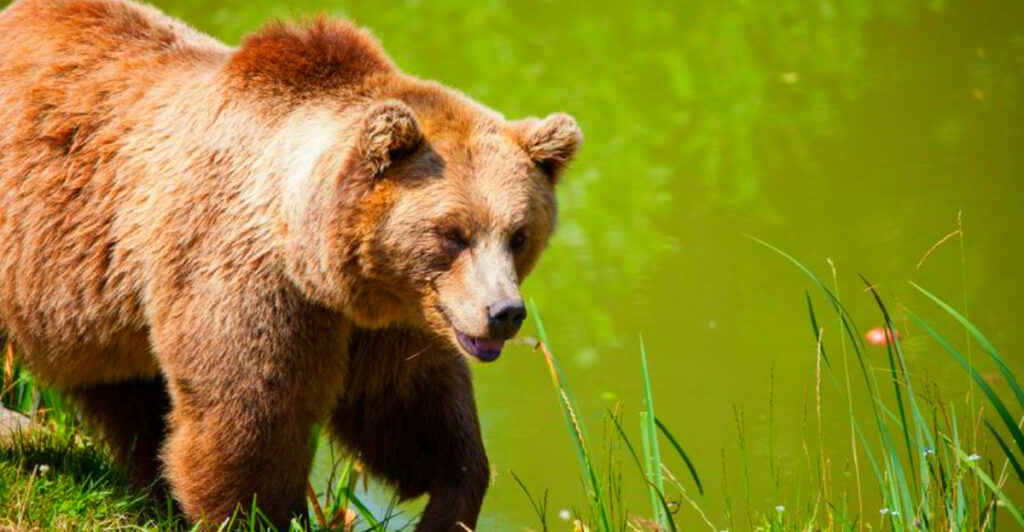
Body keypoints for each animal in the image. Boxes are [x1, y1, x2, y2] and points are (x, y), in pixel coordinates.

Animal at [0, 0, 582, 530]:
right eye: (451, 234)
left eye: (519, 234)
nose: (504, 312)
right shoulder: (248, 280)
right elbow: (250, 421)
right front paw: (258, 512)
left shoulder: (393, 319)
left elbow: (411, 411)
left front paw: (450, 503)